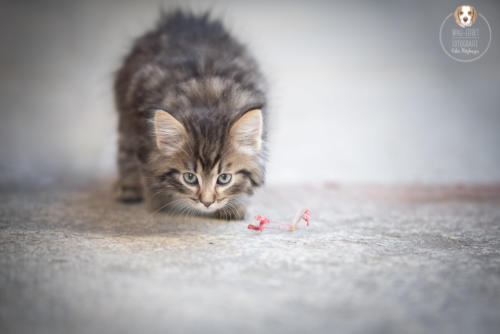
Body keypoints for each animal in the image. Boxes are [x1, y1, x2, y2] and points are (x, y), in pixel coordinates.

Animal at [113, 11, 268, 219]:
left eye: (224, 178)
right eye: (189, 178)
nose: (207, 203)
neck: (207, 98)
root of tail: (184, 19)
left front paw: (235, 206)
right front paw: (158, 200)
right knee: (125, 151)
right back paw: (129, 188)